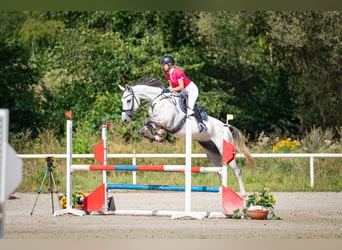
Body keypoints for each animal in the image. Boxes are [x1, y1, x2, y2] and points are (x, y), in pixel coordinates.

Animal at [120, 77, 254, 196]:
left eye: (128, 100)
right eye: (122, 100)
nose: (125, 120)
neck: (158, 101)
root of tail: (225, 126)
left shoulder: (165, 121)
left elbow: (147, 120)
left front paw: (159, 135)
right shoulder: (159, 121)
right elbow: (145, 126)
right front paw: (157, 136)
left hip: (223, 147)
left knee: (237, 170)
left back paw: (243, 194)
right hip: (212, 151)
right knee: (220, 171)